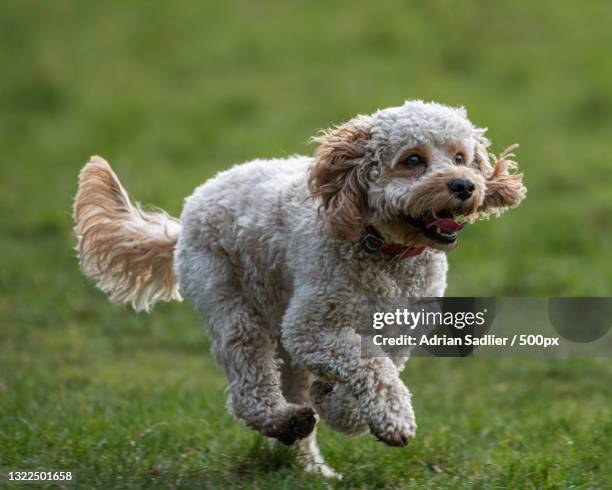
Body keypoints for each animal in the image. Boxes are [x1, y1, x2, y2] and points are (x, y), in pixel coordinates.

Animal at [73, 99, 524, 478]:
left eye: (461, 157)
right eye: (413, 160)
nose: (465, 185)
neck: (384, 251)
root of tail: (186, 215)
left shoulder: (399, 331)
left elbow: (376, 371)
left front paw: (342, 409)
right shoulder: (312, 327)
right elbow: (371, 368)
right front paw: (392, 420)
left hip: (283, 339)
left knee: (291, 391)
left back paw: (309, 464)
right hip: (231, 304)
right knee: (248, 389)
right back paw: (285, 420)